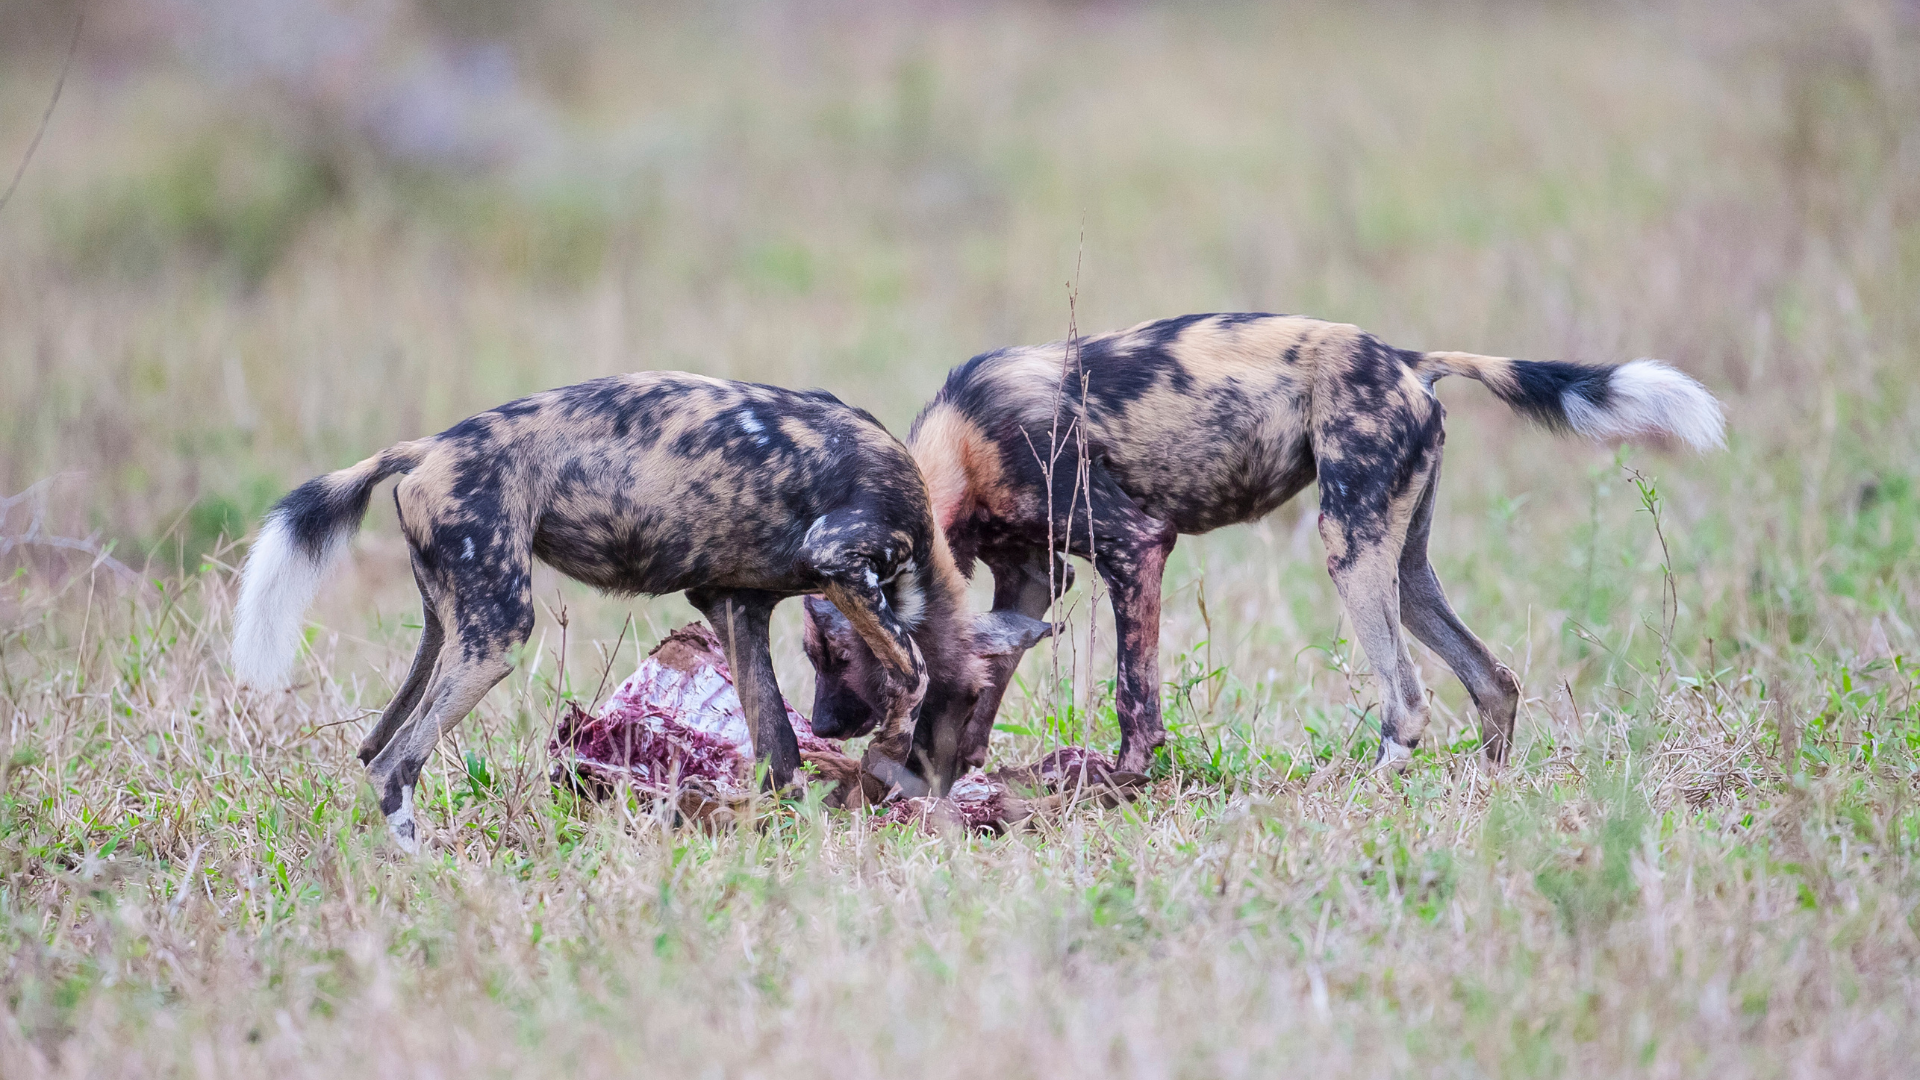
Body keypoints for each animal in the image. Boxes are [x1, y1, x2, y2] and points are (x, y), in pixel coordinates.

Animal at [236, 374, 1052, 845]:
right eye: (977, 701)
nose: (958, 777)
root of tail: (427, 446)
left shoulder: (734, 608)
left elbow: (779, 755)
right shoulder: (838, 561)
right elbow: (911, 673)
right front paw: (882, 758)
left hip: (448, 631)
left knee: (375, 748)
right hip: (497, 636)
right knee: (395, 762)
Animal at [802, 311, 1735, 772]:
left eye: (837, 657)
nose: (821, 725)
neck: (956, 453)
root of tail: (1405, 358)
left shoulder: (1135, 548)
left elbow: (1132, 693)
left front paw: (1122, 780)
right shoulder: (1029, 581)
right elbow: (985, 675)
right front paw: (954, 770)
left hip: (1348, 551)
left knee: (1408, 699)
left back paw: (1371, 780)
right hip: (1403, 565)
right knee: (1492, 680)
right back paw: (1490, 788)